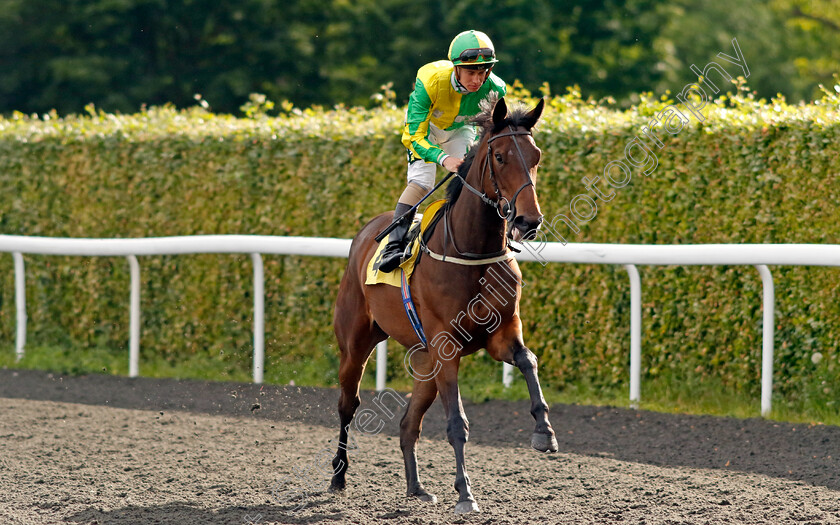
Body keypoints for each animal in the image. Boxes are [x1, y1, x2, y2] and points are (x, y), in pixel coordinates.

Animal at [330, 96, 556, 512]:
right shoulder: (446, 345)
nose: (528, 220)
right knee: (347, 405)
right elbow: (456, 423)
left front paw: (544, 431)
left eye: (536, 156)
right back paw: (338, 476)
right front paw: (465, 492)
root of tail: (368, 231)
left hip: (424, 362)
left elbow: (528, 361)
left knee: (408, 423)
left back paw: (416, 487)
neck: (472, 250)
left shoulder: (502, 333)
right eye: (499, 156)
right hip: (356, 344)